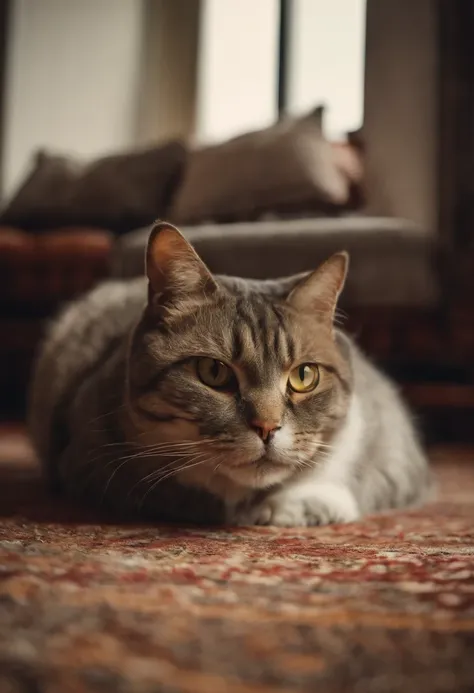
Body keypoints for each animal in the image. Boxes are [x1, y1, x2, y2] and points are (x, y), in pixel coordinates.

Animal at [27, 222, 432, 524]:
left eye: (304, 376)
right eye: (213, 372)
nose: (267, 427)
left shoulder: (395, 454)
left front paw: (301, 505)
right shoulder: (90, 460)